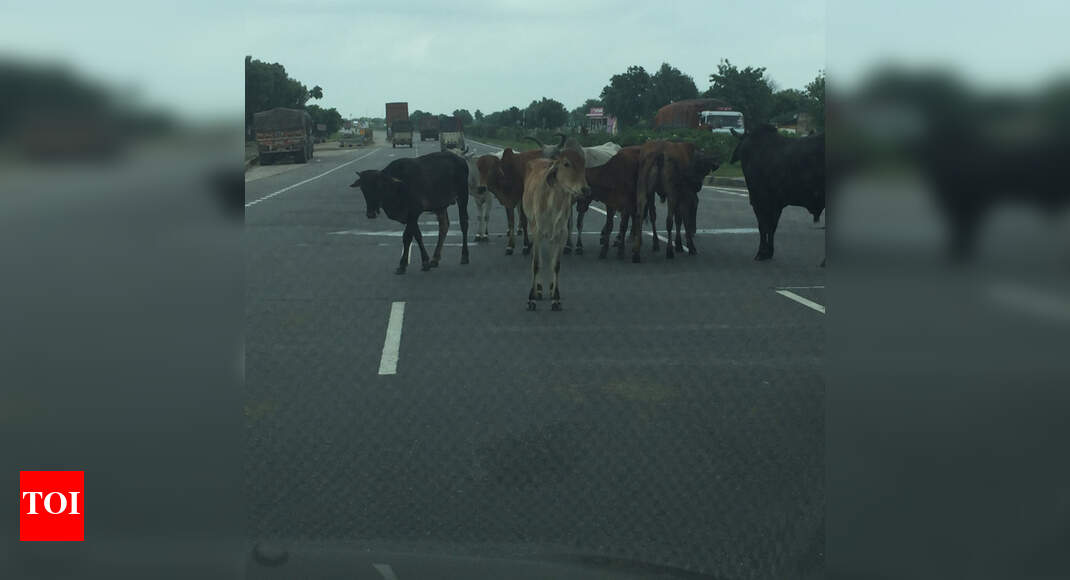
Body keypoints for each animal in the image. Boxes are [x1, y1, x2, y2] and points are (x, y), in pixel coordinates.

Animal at [522, 140, 590, 311]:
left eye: (583, 164)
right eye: (566, 163)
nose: (586, 189)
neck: (553, 203)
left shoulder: (561, 234)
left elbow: (556, 265)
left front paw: (556, 299)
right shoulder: (537, 232)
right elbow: (536, 264)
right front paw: (531, 298)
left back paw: (550, 288)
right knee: (538, 259)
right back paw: (539, 289)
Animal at [729, 124, 825, 261]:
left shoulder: (759, 200)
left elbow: (763, 226)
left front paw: (761, 252)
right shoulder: (776, 204)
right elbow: (772, 226)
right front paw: (769, 252)